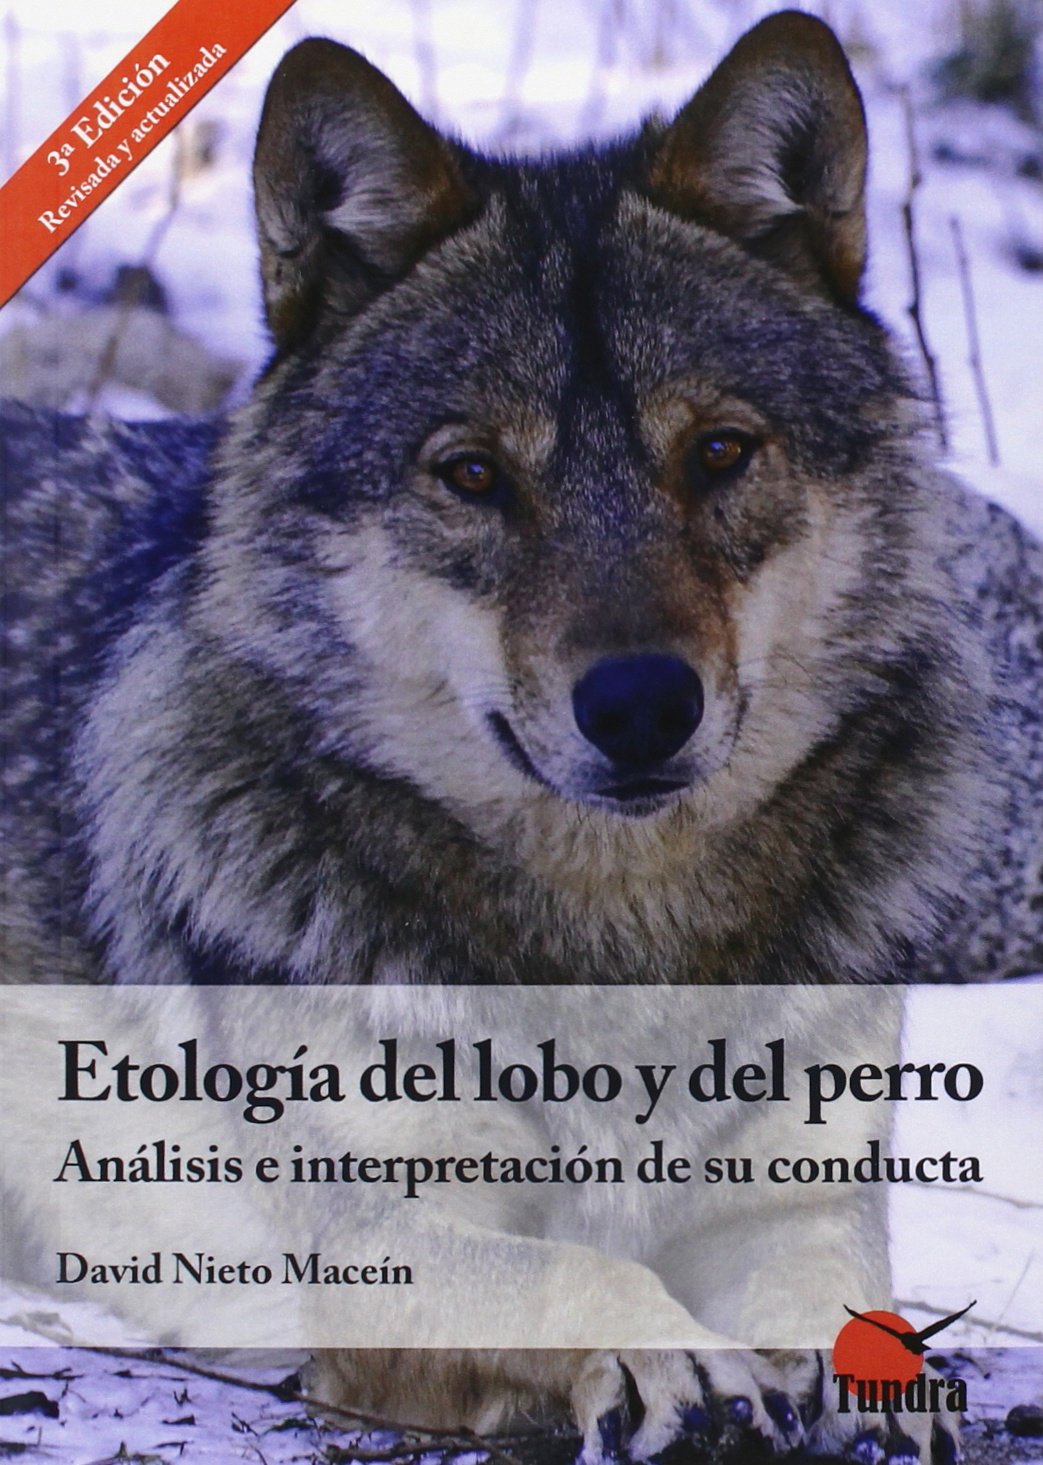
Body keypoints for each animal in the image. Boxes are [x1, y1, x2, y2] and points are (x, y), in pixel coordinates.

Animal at [1, 8, 1041, 1463]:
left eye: (718, 452)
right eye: (472, 475)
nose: (640, 704)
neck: (618, 947)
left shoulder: (791, 1201)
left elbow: (827, 1288)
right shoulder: (379, 1250)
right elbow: (573, 1268)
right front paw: (685, 1367)